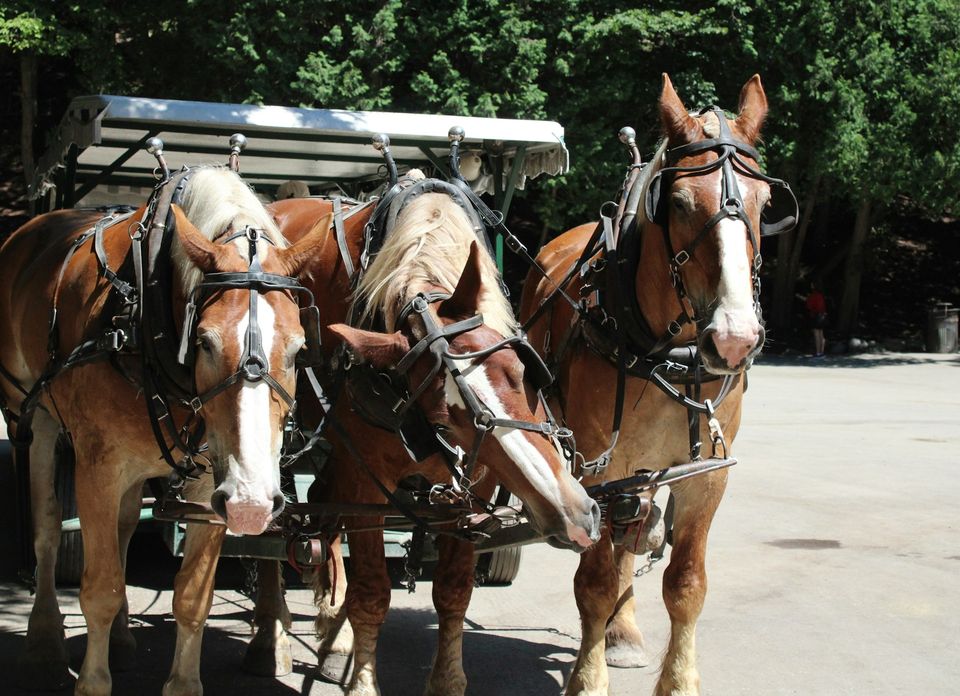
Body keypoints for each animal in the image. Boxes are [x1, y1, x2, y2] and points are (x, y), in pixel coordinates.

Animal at [0, 167, 327, 696]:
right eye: (205, 342)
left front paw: (182, 682)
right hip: (32, 416)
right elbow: (100, 587)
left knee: (125, 525)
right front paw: (92, 682)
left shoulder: (213, 480)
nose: (254, 504)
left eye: (299, 349)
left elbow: (192, 597)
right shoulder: (98, 468)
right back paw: (44, 641)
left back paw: (119, 639)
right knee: (47, 527)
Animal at [235, 179, 601, 695]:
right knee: (275, 526)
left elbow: (453, 591)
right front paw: (362, 681)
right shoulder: (367, 484)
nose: (575, 515)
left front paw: (445, 679)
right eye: (445, 422)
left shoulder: (473, 489)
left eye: (521, 370)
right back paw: (273, 636)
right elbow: (372, 592)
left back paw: (333, 634)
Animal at [518, 74, 794, 695]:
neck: (670, 352)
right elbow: (594, 580)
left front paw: (679, 679)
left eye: (765, 205)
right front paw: (587, 678)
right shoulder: (598, 468)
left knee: (634, 533)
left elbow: (686, 584)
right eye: (680, 203)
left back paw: (623, 633)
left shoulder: (706, 475)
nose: (735, 338)